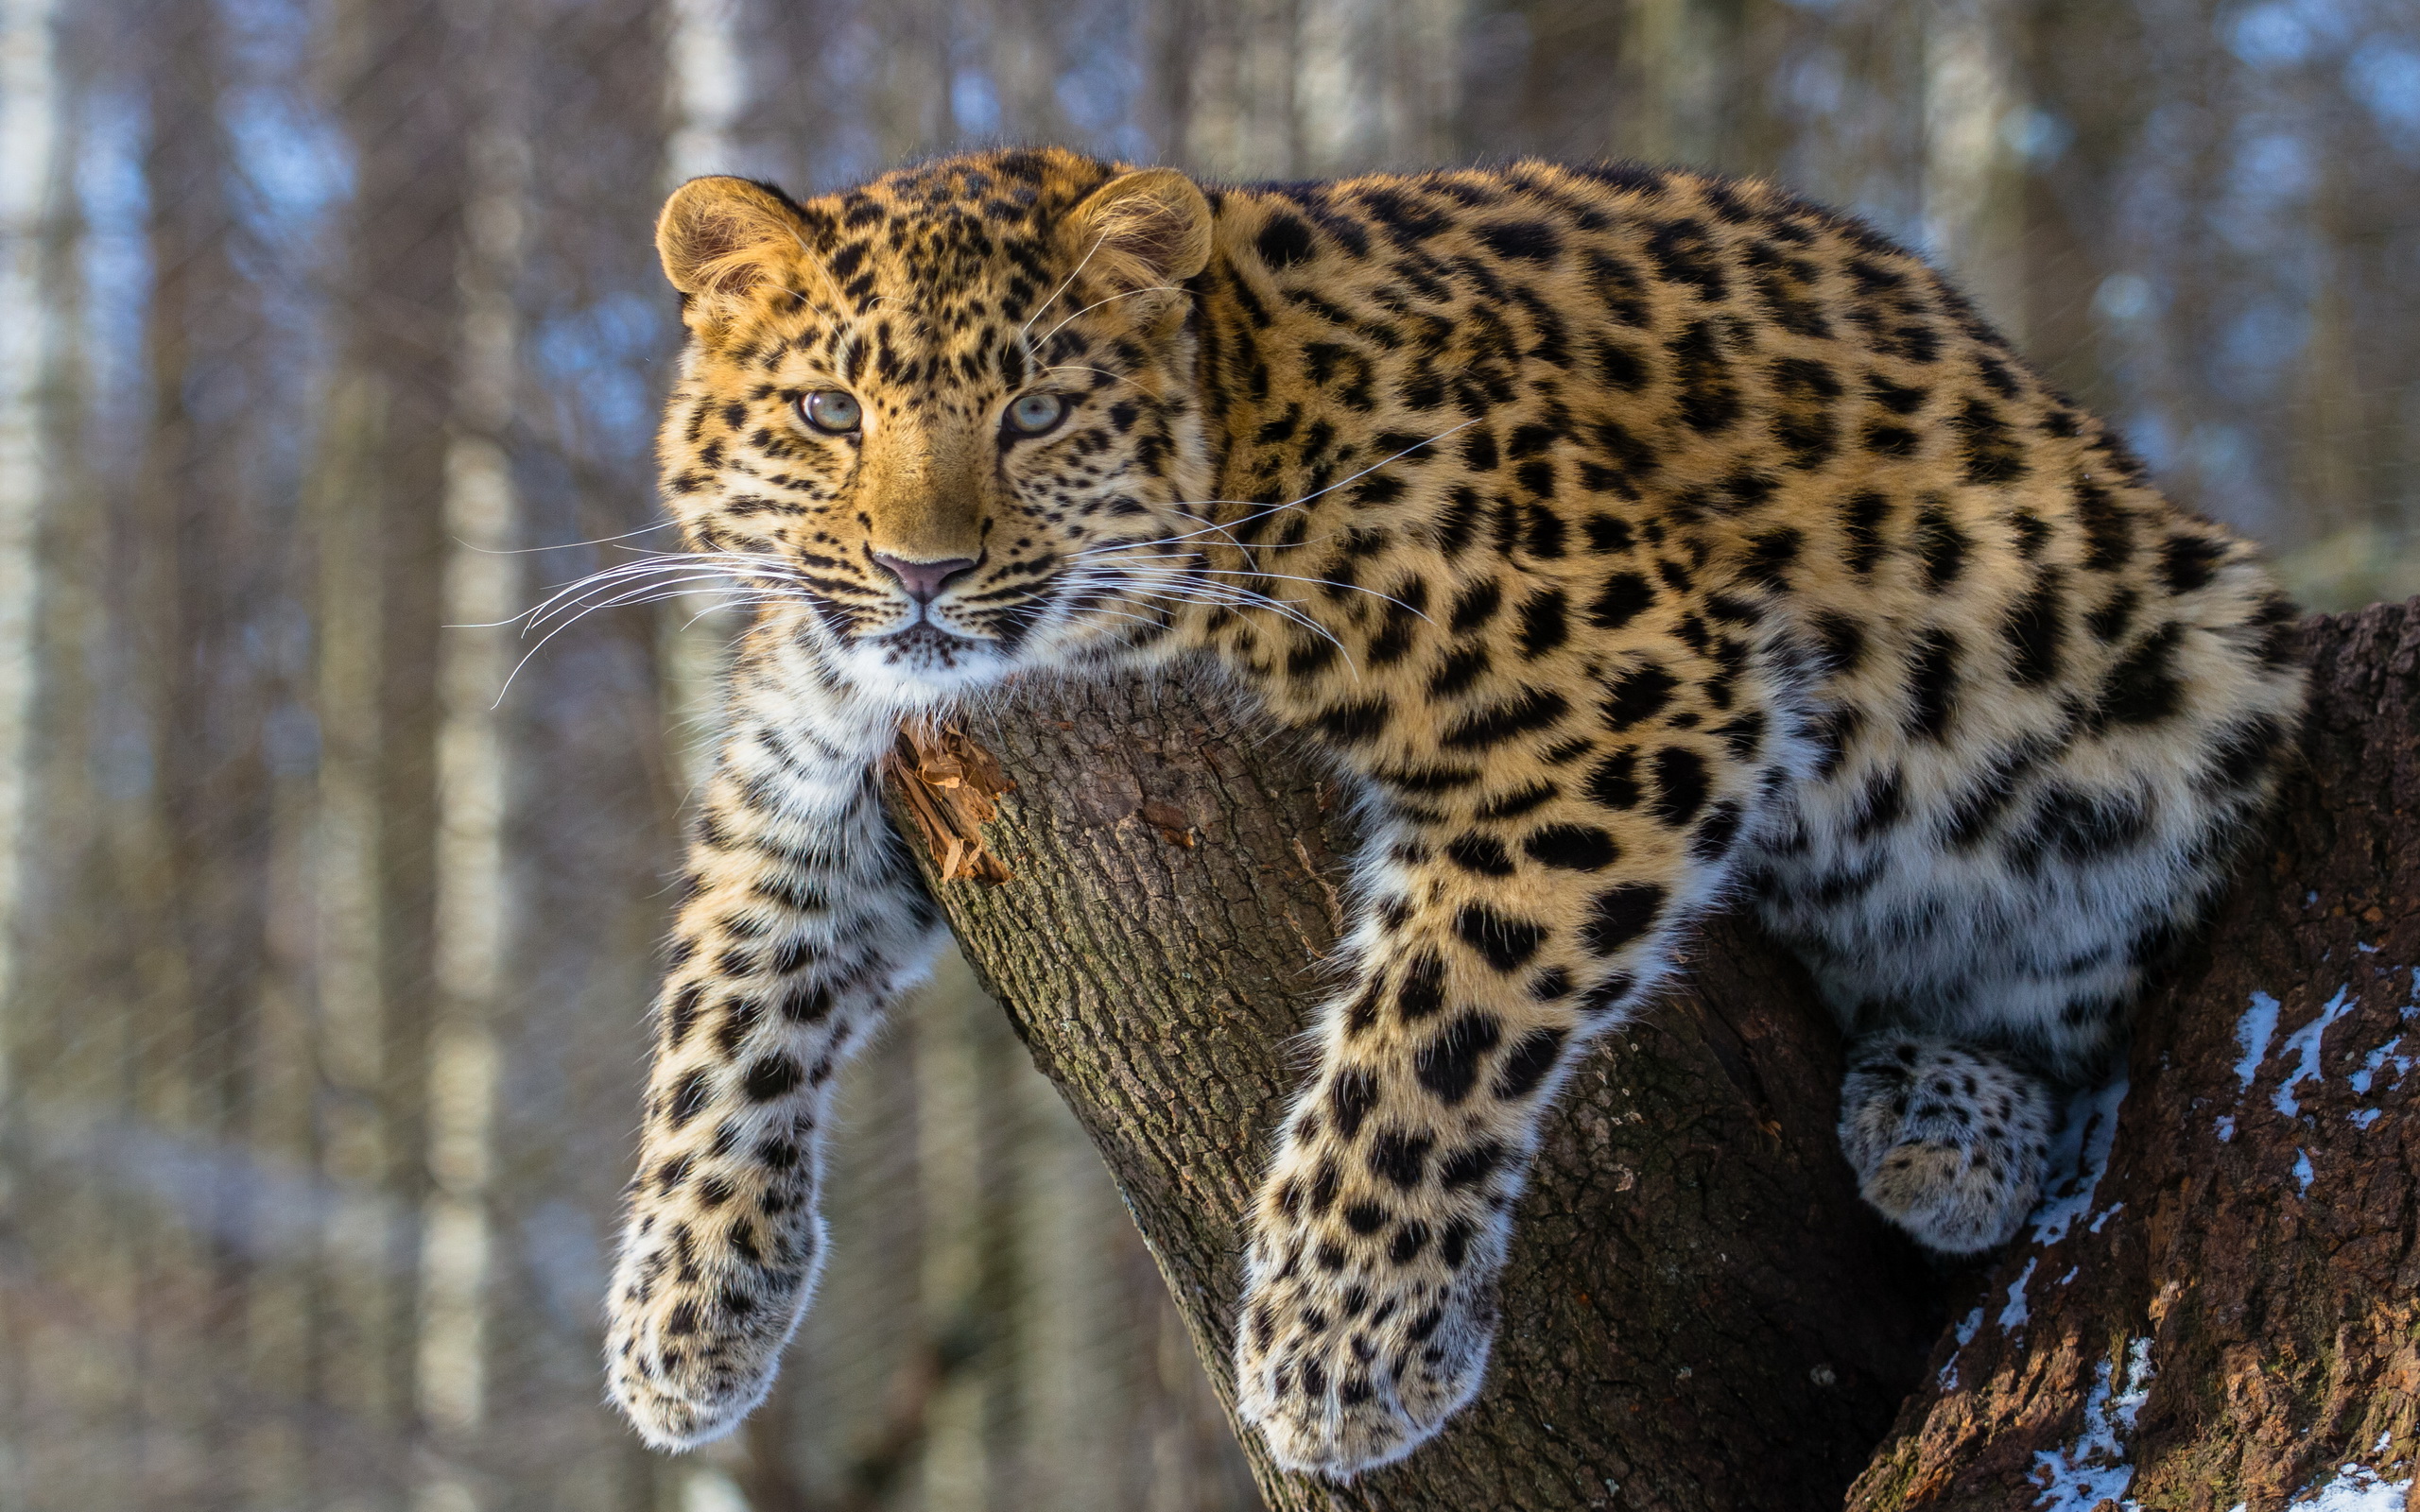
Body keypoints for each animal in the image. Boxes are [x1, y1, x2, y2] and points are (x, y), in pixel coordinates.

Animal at [605, 144, 2304, 1470]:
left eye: (1033, 414)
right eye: (827, 411)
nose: (922, 572)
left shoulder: (1635, 688)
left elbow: (1438, 1015)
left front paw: (1337, 1349)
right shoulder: (804, 765)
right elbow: (719, 1006)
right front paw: (678, 1321)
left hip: (2173, 691)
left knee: (2080, 1011)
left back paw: (1951, 1125)